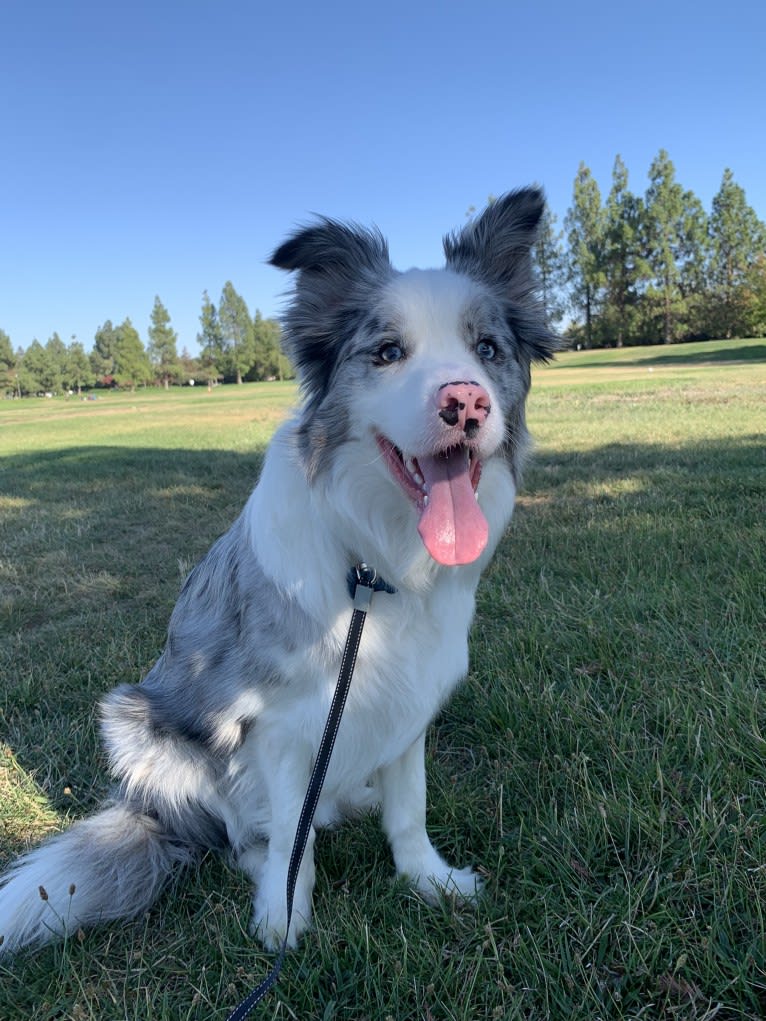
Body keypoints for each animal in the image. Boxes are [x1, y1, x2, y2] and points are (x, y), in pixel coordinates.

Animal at [0, 187, 559, 951]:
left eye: (488, 350)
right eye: (388, 352)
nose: (466, 402)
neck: (375, 560)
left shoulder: (410, 696)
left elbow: (409, 807)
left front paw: (428, 879)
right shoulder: (278, 722)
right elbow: (293, 835)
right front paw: (284, 913)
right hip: (135, 723)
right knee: (232, 832)